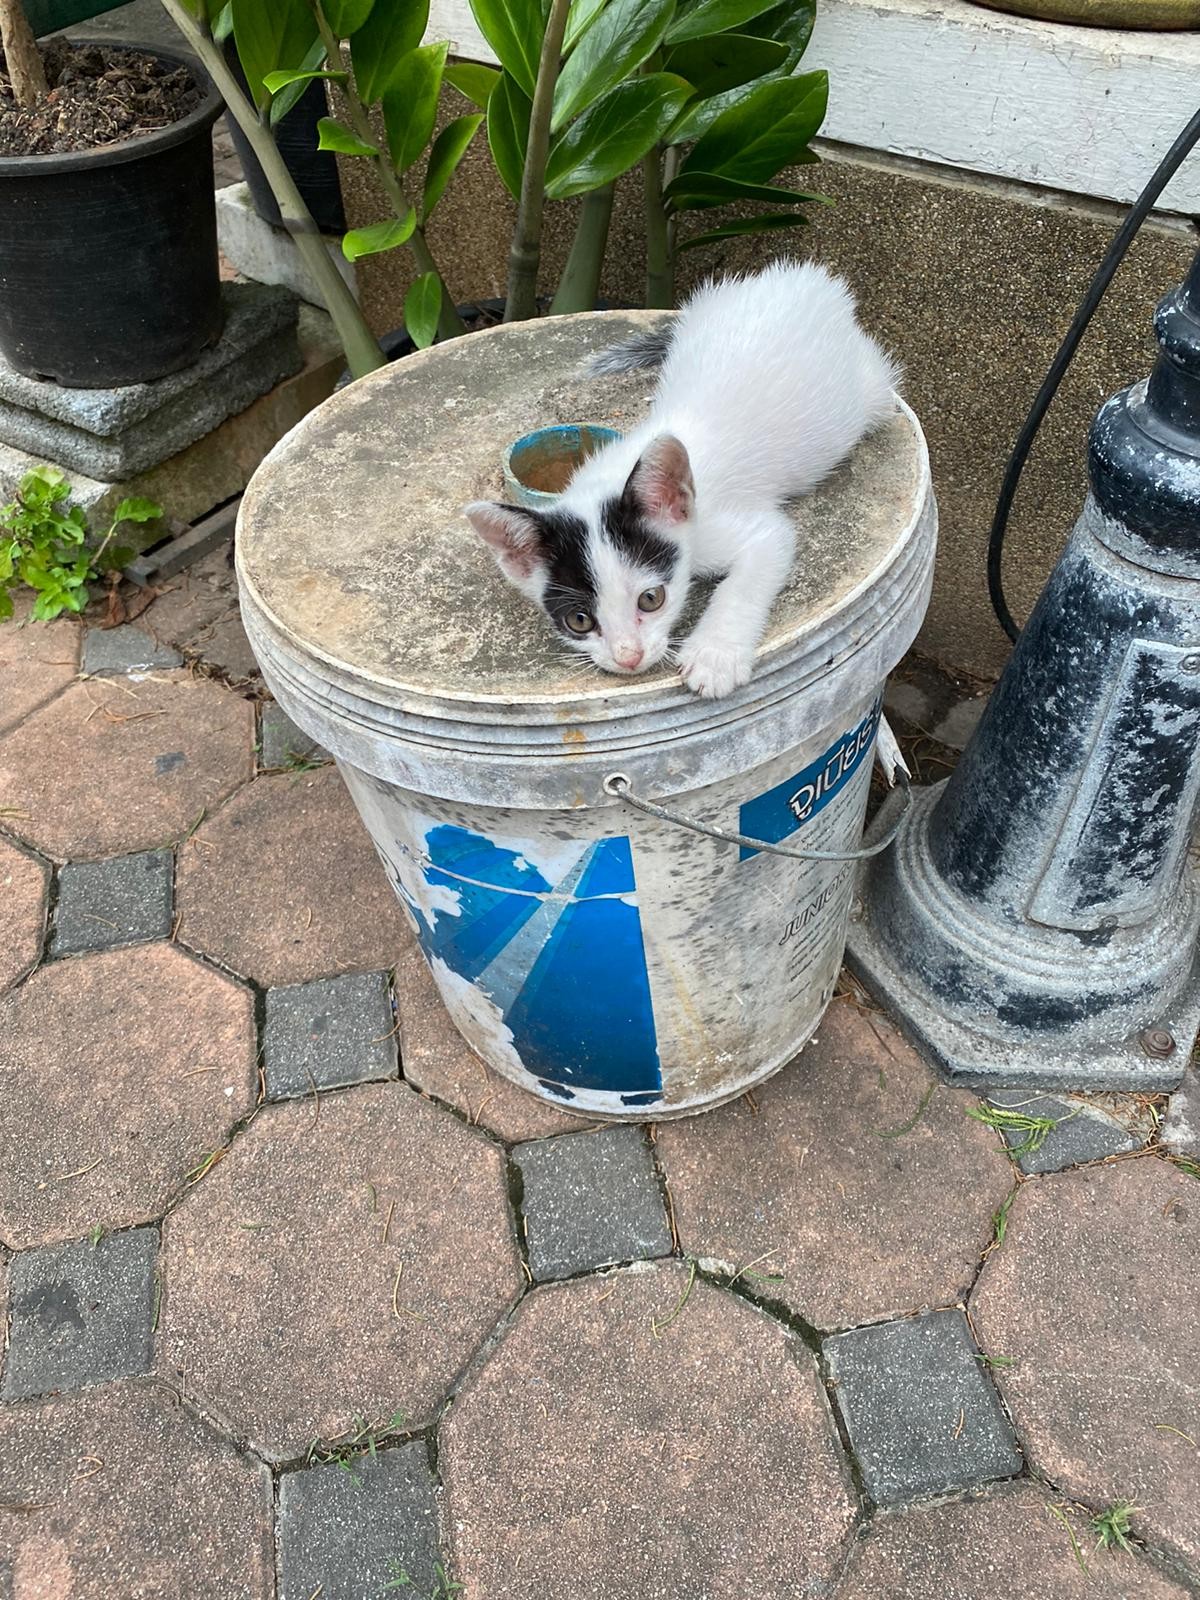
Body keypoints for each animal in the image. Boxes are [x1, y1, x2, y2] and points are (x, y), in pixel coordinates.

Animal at [464, 262, 896, 700]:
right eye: (580, 621)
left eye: (651, 599)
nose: (629, 657)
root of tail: (808, 278)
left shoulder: (734, 530)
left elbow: (756, 563)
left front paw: (715, 655)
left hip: (873, 388)